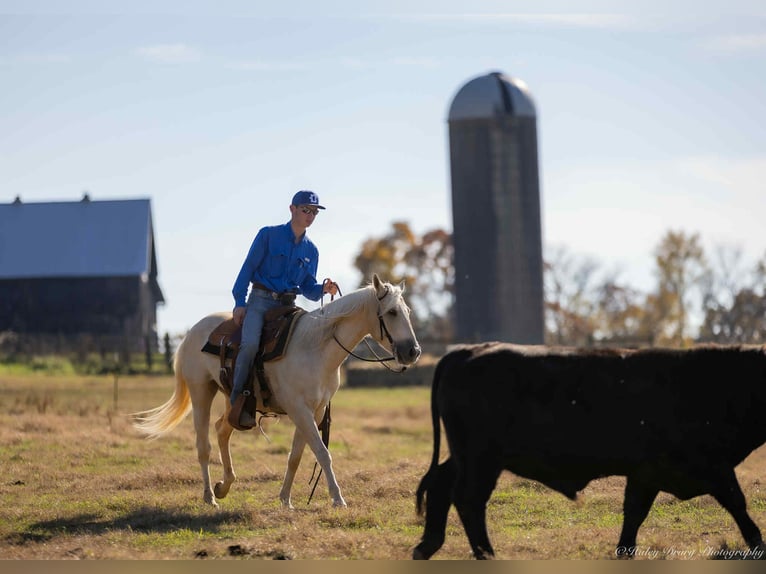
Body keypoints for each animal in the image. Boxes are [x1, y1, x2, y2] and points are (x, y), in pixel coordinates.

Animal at [132, 274, 421, 509]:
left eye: (407, 310)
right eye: (392, 312)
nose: (413, 351)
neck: (315, 348)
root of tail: (193, 331)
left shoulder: (314, 411)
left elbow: (296, 456)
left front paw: (285, 499)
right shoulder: (298, 410)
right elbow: (322, 453)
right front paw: (338, 499)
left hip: (232, 400)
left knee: (222, 429)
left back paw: (224, 486)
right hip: (201, 391)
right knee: (204, 445)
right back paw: (209, 496)